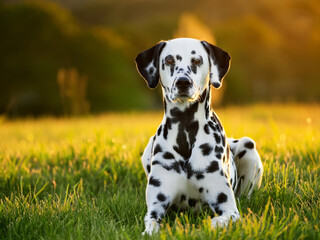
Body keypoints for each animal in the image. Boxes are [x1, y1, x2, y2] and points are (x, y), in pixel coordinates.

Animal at [135, 37, 262, 234]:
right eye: (169, 60)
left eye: (197, 60)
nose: (183, 82)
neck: (185, 129)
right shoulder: (155, 208)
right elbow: (151, 224)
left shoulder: (229, 209)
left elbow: (218, 220)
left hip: (248, 146)